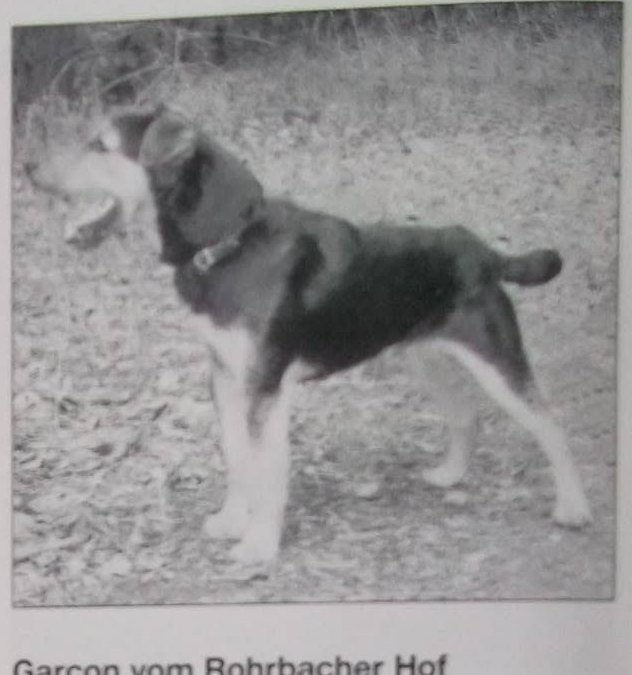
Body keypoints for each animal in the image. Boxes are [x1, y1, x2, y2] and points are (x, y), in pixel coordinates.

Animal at [27, 105, 592, 565]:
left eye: (100, 145)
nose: (28, 169)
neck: (228, 244)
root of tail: (486, 253)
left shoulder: (265, 386)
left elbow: (267, 470)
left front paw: (258, 545)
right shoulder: (225, 376)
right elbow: (237, 457)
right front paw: (231, 522)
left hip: (495, 354)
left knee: (550, 422)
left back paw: (573, 506)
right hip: (426, 357)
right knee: (464, 415)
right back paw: (450, 475)